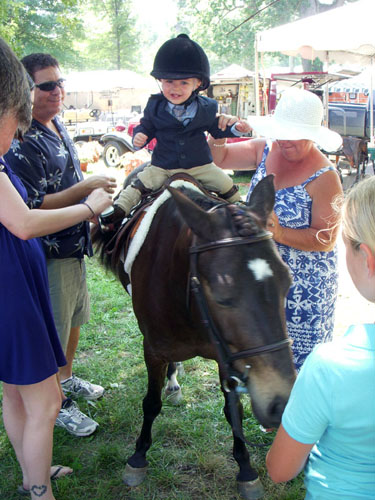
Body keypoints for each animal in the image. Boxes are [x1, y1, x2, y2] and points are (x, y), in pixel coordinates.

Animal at [92, 176, 296, 500]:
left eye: (286, 281)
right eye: (222, 293)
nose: (281, 403)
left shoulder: (227, 356)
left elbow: (234, 411)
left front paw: (246, 469)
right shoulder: (153, 349)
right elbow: (151, 403)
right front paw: (138, 457)